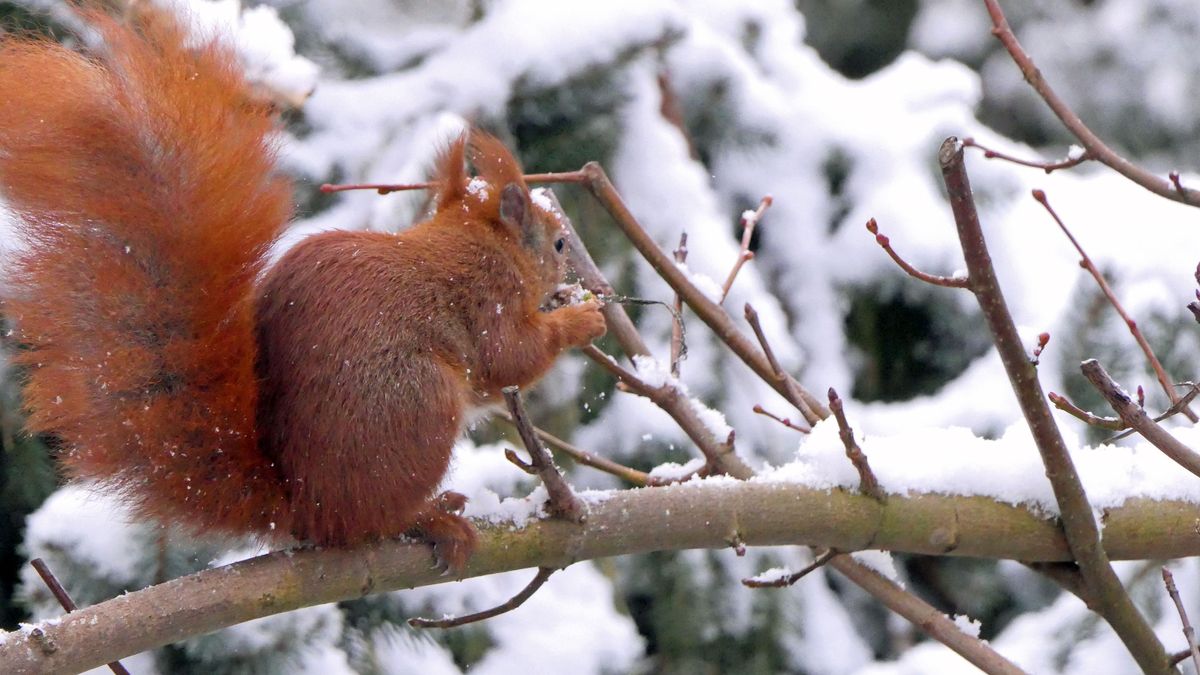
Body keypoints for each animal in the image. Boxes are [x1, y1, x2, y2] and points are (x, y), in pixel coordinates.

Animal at [0, 9, 600, 566]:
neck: (480, 242)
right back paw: (430, 518)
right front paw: (580, 320)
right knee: (370, 521)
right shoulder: (487, 296)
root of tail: (303, 506)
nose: (571, 271)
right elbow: (511, 356)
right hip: (417, 404)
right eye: (559, 244)